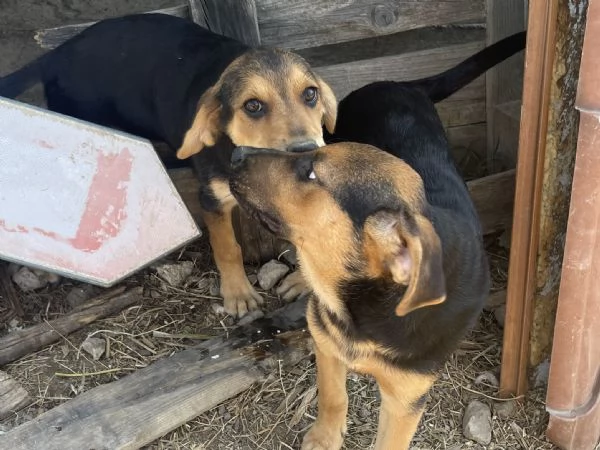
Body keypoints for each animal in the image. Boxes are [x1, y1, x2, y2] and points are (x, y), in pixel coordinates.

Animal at [1, 13, 338, 316]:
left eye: (311, 94)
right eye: (253, 106)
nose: (306, 153)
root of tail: (57, 53)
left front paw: (303, 281)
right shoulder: (212, 198)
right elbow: (228, 248)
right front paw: (238, 294)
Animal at [225, 31, 524, 446]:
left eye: (311, 171)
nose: (235, 154)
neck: (363, 306)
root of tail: (401, 82)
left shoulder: (406, 399)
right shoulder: (326, 341)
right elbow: (332, 396)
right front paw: (324, 438)